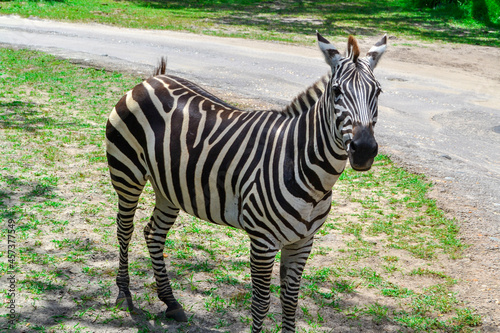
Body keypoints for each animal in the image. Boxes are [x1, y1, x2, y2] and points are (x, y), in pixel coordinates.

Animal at [105, 31, 386, 332]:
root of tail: (151, 80)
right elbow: (261, 304)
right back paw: (124, 293)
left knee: (154, 233)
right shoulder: (262, 241)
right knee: (125, 229)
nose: (364, 149)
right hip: (127, 173)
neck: (308, 171)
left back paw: (171, 302)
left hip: (168, 187)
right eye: (336, 91)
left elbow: (291, 302)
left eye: (378, 92)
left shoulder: (302, 242)